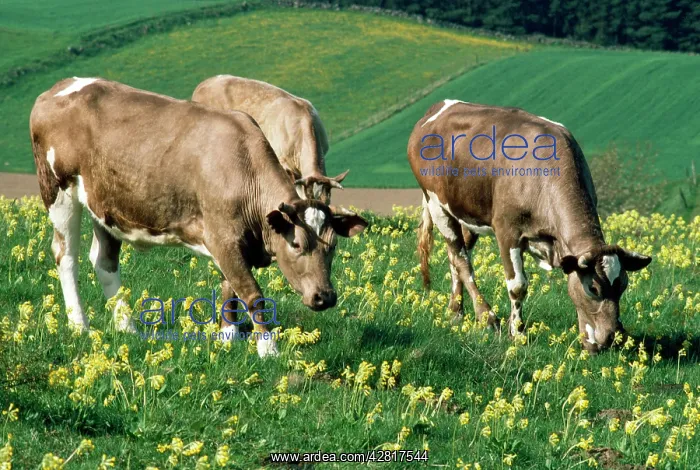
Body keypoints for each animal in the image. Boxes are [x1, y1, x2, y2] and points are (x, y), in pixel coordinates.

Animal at [408, 99, 651, 353]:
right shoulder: (507, 232)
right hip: (436, 203)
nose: (612, 338)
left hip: (468, 213)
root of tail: (439, 107)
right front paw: (517, 333)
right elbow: (517, 286)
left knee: (456, 256)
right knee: (461, 260)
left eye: (623, 285)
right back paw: (486, 317)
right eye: (593, 288)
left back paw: (456, 311)